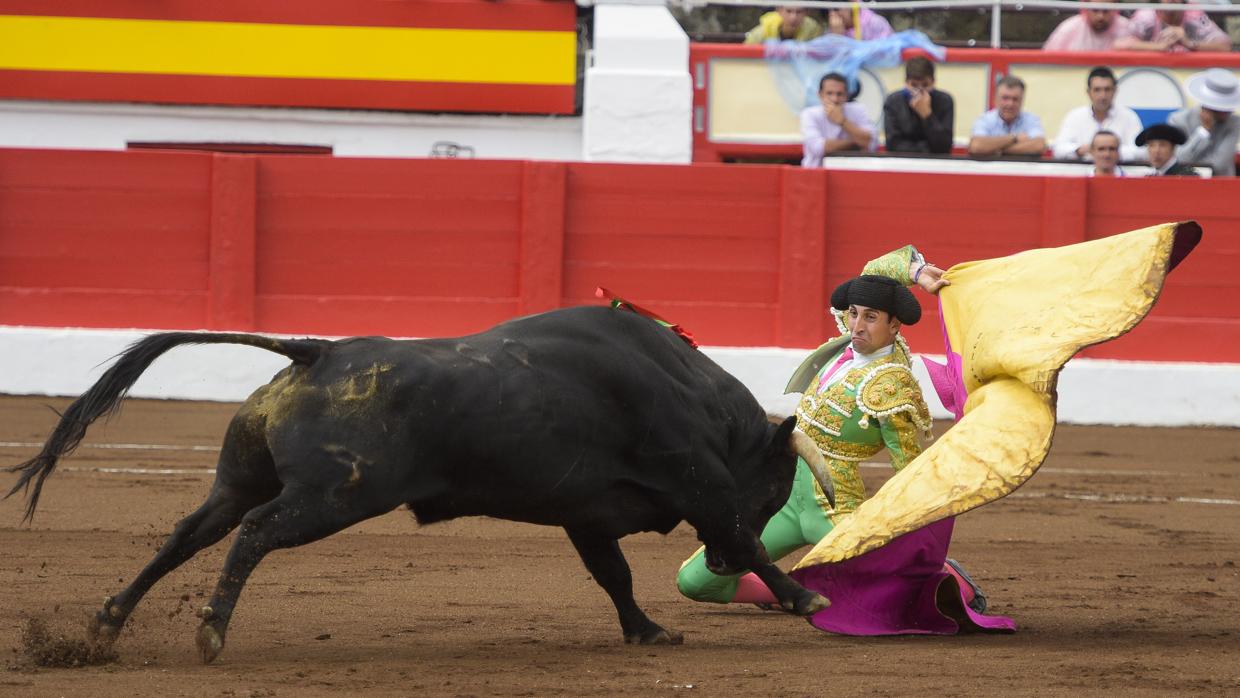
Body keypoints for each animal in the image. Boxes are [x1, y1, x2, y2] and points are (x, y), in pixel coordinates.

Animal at [4, 308, 833, 664]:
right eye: (776, 486)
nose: (711, 570)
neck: (693, 395)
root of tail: (317, 352)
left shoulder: (585, 515)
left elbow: (613, 576)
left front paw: (646, 631)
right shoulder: (700, 485)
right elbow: (750, 542)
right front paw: (806, 601)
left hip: (237, 480)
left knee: (190, 533)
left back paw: (107, 623)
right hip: (335, 496)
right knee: (258, 532)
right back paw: (210, 631)